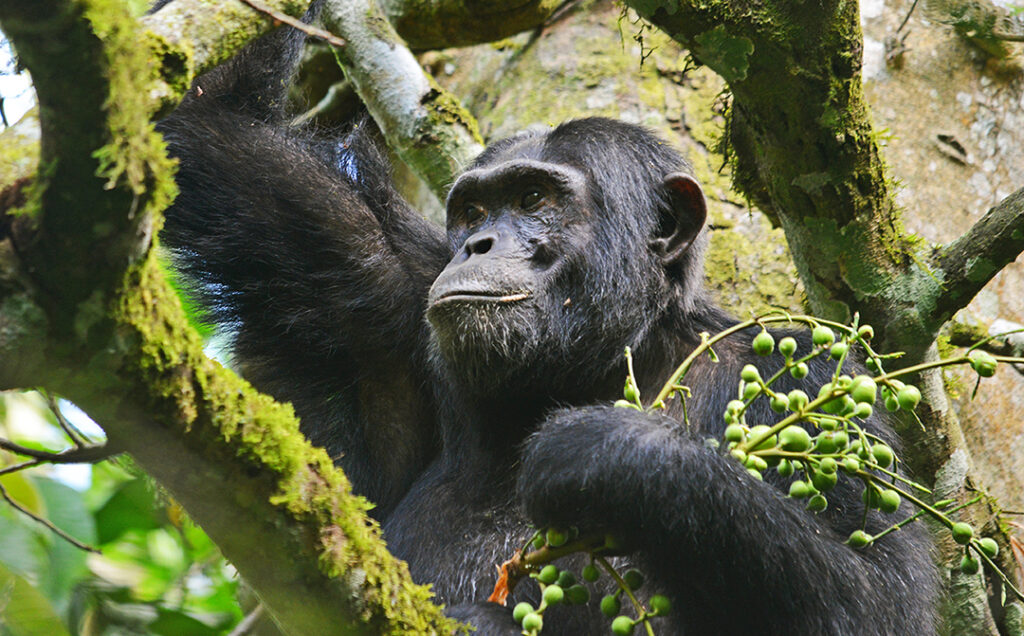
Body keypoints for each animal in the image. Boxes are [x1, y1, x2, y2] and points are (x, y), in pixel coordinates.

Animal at [155, 6, 937, 634]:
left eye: (534, 199)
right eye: (473, 209)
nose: (478, 244)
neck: (587, 362)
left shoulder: (802, 367)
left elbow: (879, 600)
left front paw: (611, 454)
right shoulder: (381, 289)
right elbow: (205, 126)